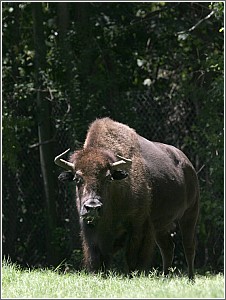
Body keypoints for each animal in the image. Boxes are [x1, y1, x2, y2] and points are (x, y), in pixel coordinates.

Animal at [54, 116, 200, 278]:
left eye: (108, 178)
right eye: (78, 179)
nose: (92, 207)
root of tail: (188, 166)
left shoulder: (138, 226)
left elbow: (132, 258)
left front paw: (133, 275)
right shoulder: (91, 231)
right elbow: (96, 256)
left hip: (189, 215)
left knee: (189, 246)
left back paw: (190, 278)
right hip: (162, 226)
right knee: (167, 249)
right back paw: (165, 278)